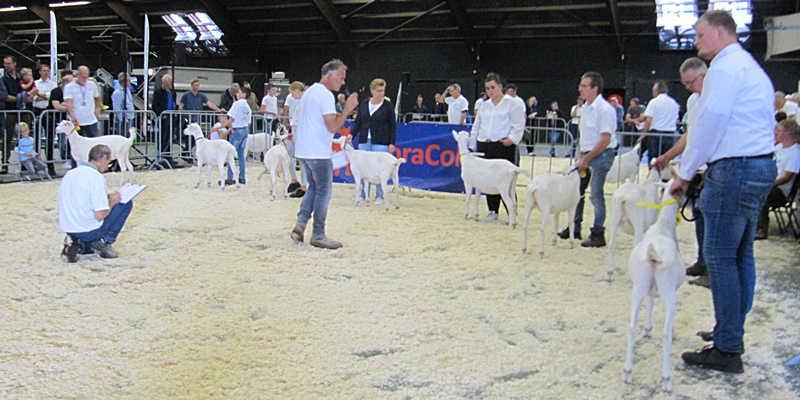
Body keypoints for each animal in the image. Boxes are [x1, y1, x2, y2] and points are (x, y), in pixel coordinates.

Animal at [622, 184, 685, 394]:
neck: (663, 226)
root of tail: (654, 256)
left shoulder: (648, 289)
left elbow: (649, 303)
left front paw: (647, 329)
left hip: (638, 287)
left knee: (631, 327)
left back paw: (627, 372)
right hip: (668, 292)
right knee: (665, 333)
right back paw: (666, 380)